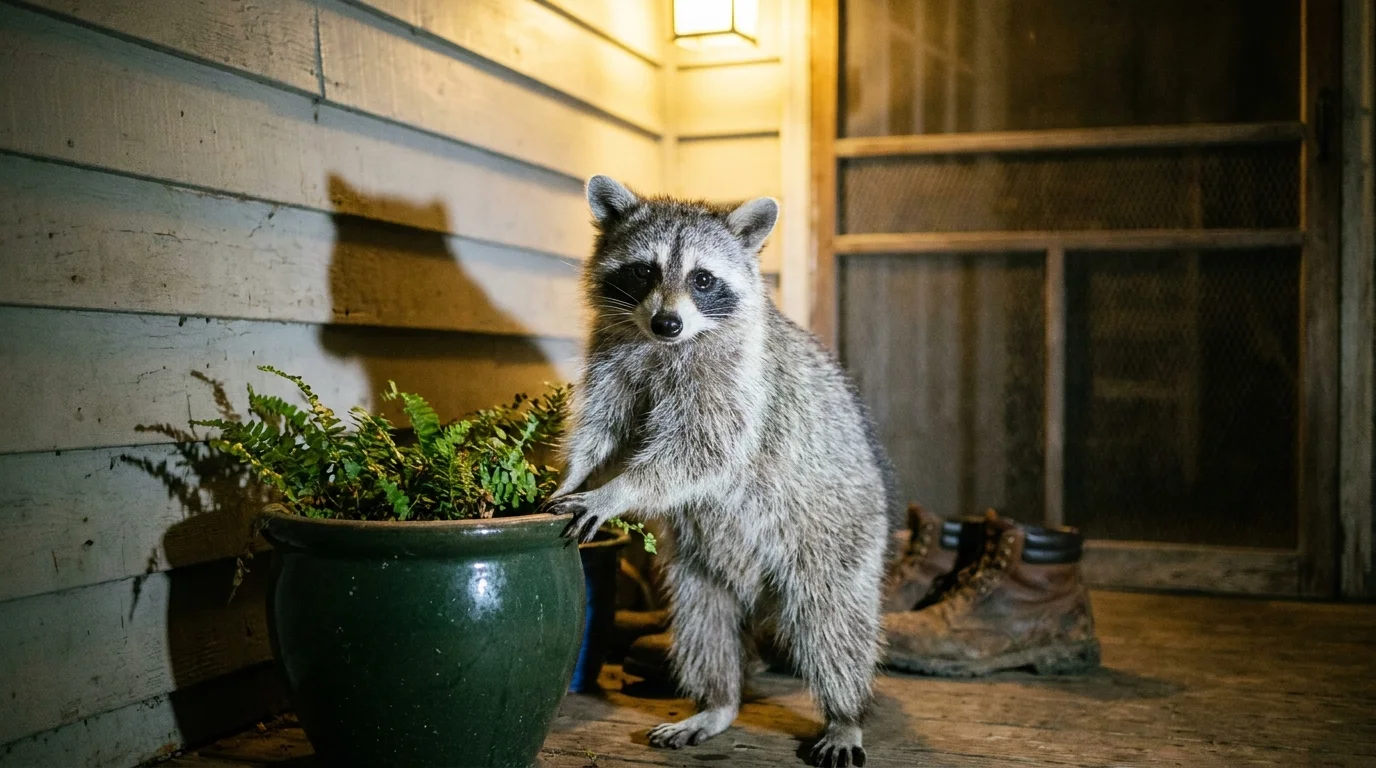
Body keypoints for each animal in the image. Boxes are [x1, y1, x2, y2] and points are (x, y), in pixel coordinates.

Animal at [543, 176, 898, 767]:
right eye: (643, 271)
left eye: (703, 279)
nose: (667, 322)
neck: (662, 344)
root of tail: (758, 590)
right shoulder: (613, 360)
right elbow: (605, 430)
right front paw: (577, 473)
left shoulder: (737, 384)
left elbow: (705, 451)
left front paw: (616, 492)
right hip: (699, 568)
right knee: (702, 624)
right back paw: (719, 701)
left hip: (838, 533)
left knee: (832, 621)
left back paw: (845, 713)